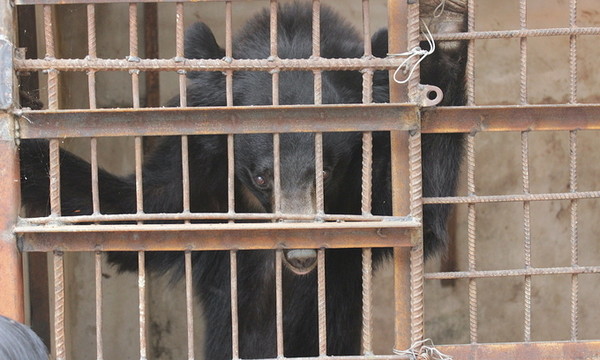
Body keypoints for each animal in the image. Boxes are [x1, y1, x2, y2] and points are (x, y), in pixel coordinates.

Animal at [19, 1, 464, 358]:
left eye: (324, 171)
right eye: (262, 177)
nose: (301, 257)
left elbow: (416, 213)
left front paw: (444, 26)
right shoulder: (197, 168)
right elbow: (136, 213)